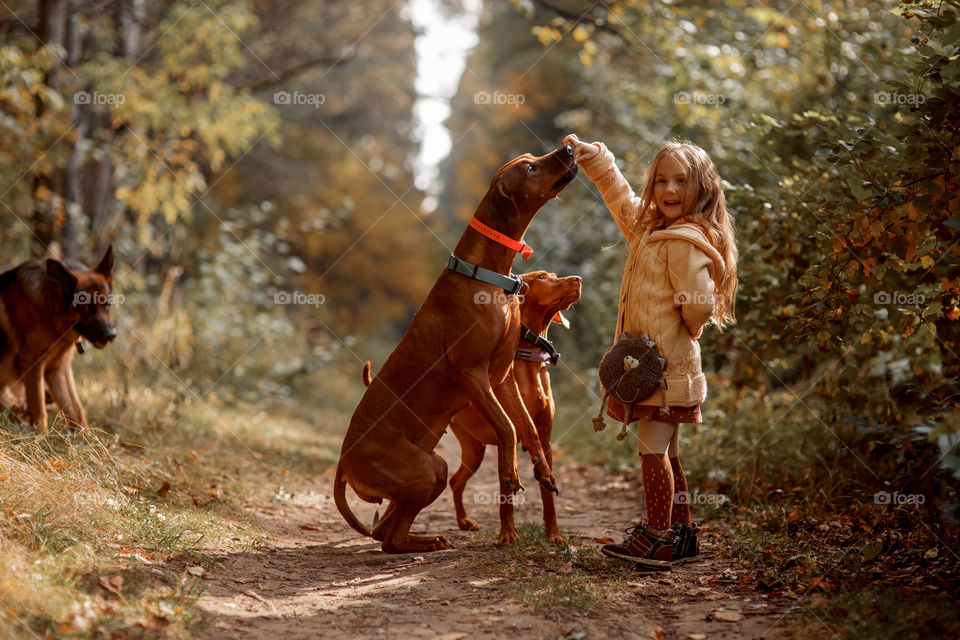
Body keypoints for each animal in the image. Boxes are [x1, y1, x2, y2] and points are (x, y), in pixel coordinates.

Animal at [0, 246, 118, 436]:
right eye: (87, 307)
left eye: (107, 305)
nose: (111, 335)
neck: (51, 309)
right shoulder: (32, 364)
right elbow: (39, 412)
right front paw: (40, 440)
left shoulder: (58, 369)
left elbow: (76, 412)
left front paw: (88, 441)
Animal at [448, 270, 580, 544]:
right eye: (541, 277)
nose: (579, 280)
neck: (528, 360)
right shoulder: (504, 438)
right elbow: (505, 493)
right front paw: (508, 534)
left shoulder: (545, 439)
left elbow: (547, 492)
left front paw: (554, 534)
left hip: (473, 450)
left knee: (455, 481)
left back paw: (464, 521)